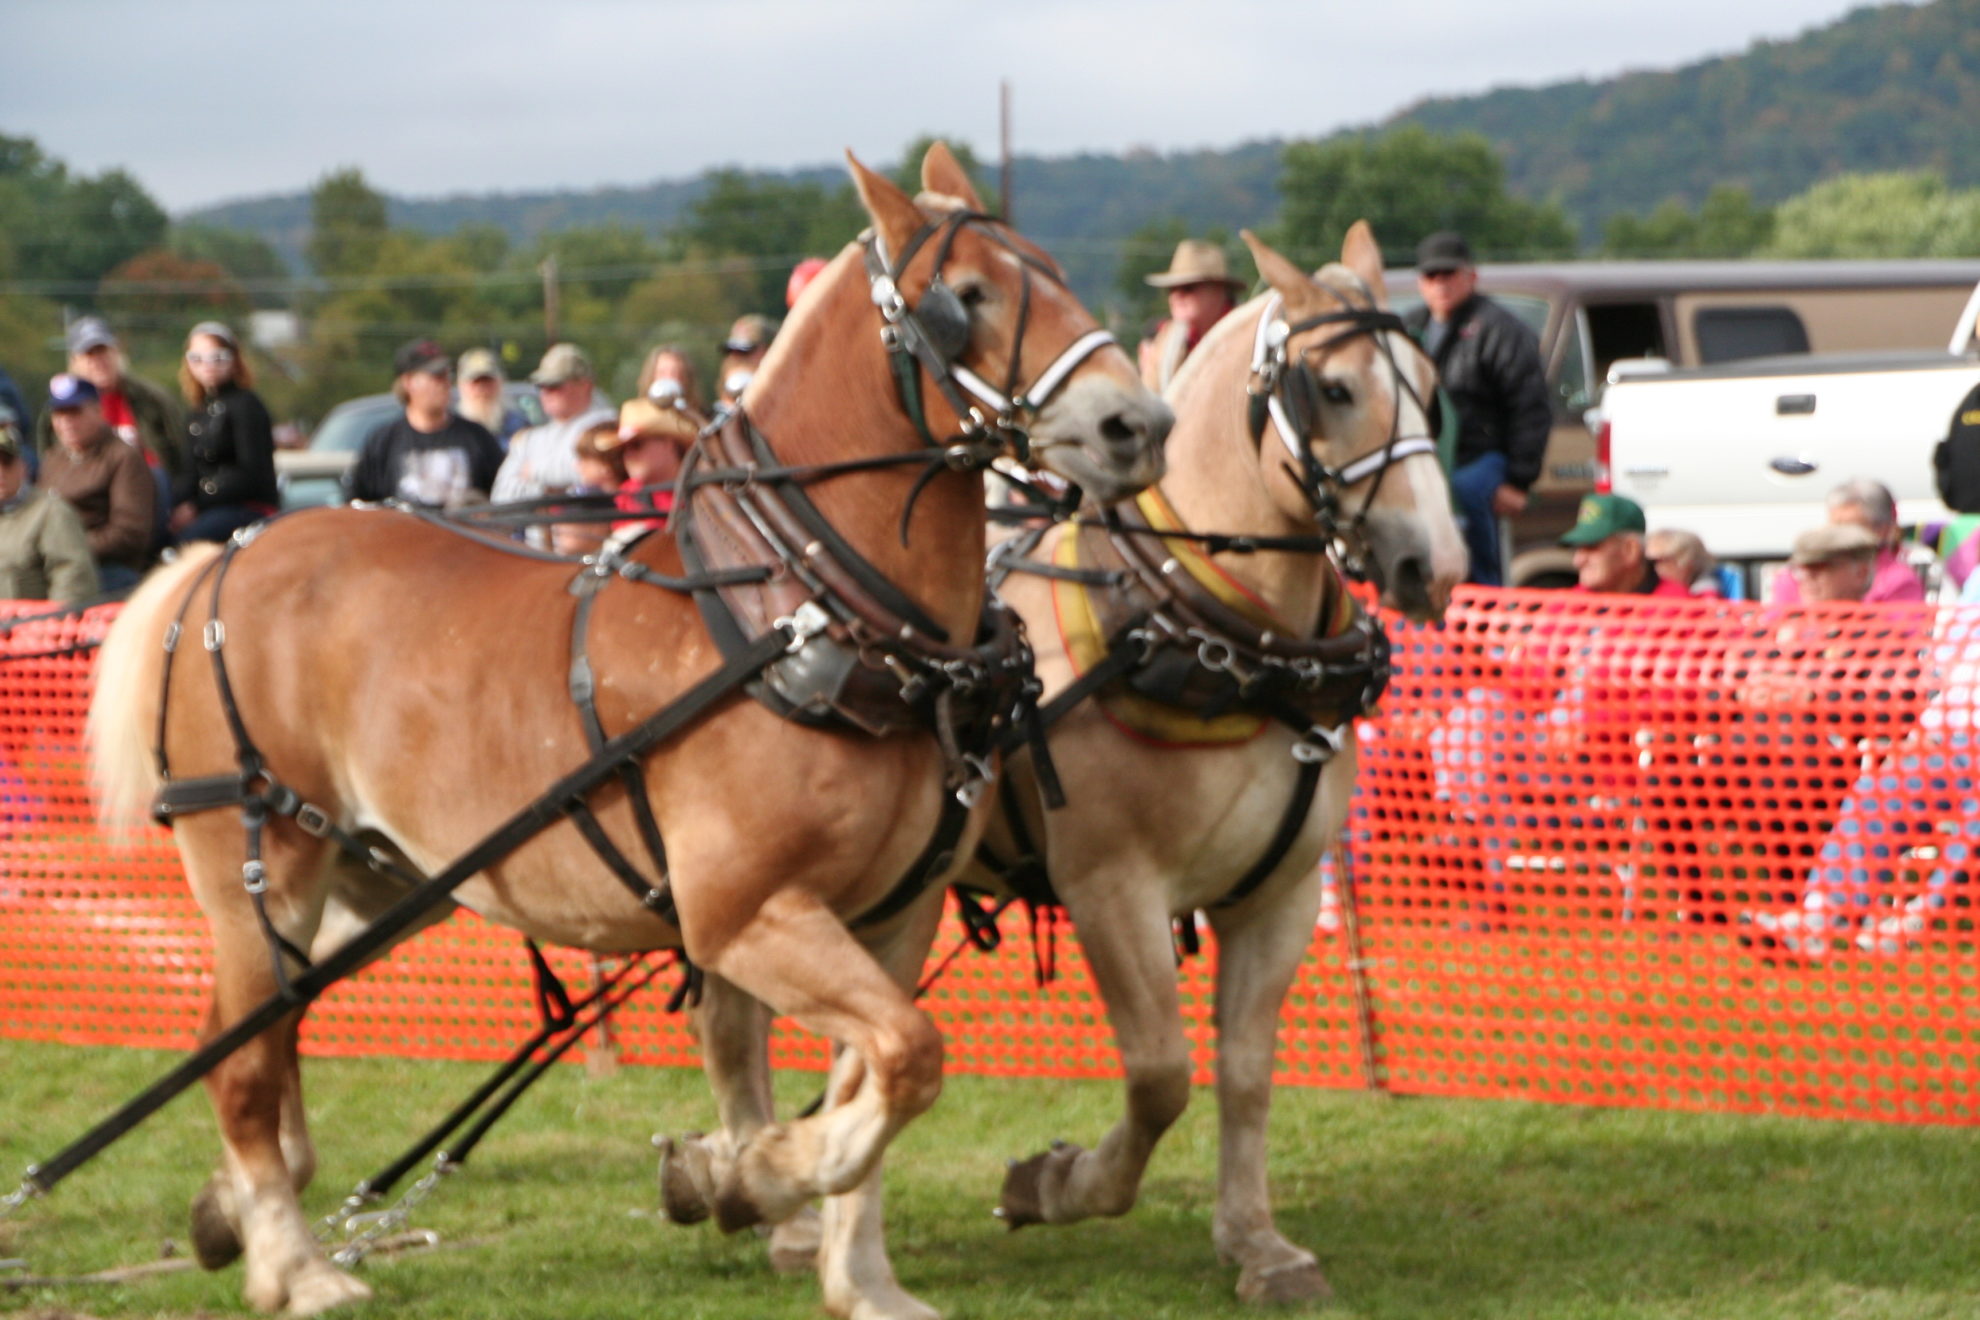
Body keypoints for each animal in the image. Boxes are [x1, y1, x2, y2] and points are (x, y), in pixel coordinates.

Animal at [85, 143, 1170, 1320]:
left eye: (1051, 269)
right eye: (964, 296)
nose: (1139, 425)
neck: (805, 612)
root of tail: (222, 560)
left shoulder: (896, 916)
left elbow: (882, 1074)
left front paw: (859, 1276)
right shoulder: (744, 913)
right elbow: (908, 1058)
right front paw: (759, 1174)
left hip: (375, 880)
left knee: (254, 1031)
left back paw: (234, 1211)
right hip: (265, 865)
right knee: (242, 1063)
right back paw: (295, 1265)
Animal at [669, 222, 1465, 1304]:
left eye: (1429, 384)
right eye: (1334, 390)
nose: (1439, 564)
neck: (1217, 634)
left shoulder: (1282, 892)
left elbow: (1247, 1072)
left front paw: (1257, 1242)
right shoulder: (1109, 885)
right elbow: (1162, 1072)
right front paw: (1056, 1185)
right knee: (732, 1028)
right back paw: (768, 1198)